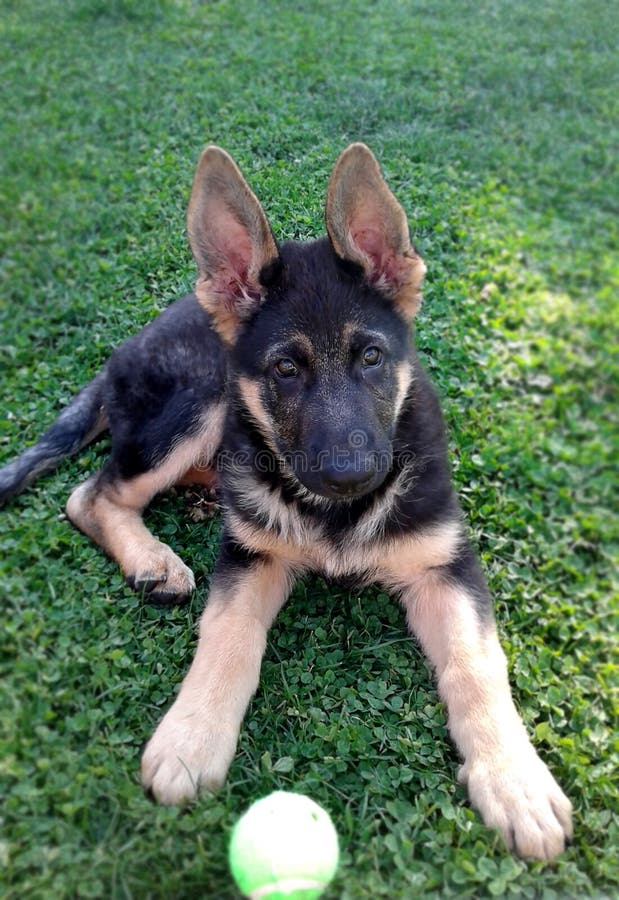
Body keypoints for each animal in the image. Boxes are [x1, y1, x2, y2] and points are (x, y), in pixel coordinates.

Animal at [0, 142, 572, 856]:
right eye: (286, 369)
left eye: (372, 357)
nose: (351, 475)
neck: (336, 517)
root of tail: (125, 350)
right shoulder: (250, 558)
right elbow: (227, 635)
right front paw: (191, 737)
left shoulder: (446, 562)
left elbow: (477, 663)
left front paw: (515, 779)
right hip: (201, 401)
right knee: (91, 494)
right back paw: (155, 559)